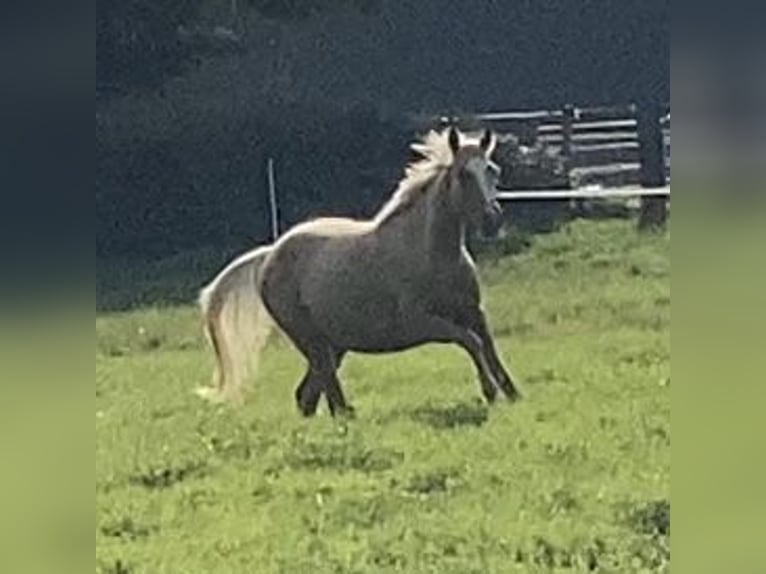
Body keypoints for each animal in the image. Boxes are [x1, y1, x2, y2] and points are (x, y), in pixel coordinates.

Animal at [196, 126, 520, 416]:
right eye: (464, 174)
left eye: (493, 170)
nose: (492, 222)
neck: (432, 255)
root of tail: (270, 253)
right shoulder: (420, 322)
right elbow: (470, 341)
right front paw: (490, 393)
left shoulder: (473, 312)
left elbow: (488, 346)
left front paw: (513, 394)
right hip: (310, 339)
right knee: (324, 386)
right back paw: (347, 416)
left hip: (333, 344)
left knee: (307, 396)